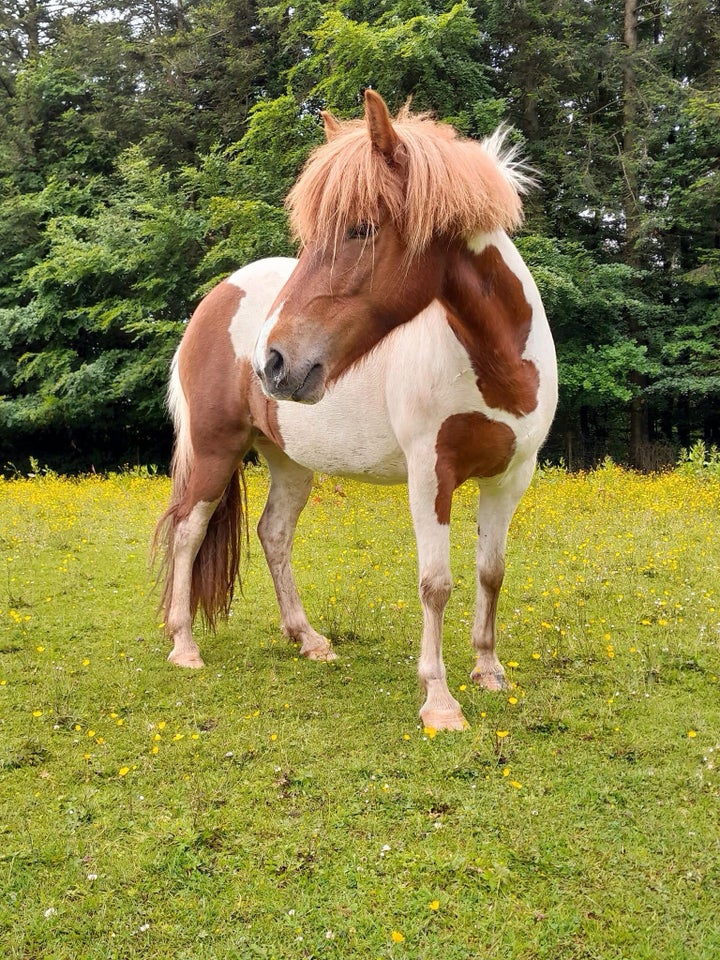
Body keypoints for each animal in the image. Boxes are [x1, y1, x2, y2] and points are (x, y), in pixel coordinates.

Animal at [155, 92, 556, 736]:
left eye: (360, 229)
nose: (274, 361)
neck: (498, 362)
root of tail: (219, 296)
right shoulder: (431, 475)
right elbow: (435, 583)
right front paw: (439, 701)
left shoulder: (511, 476)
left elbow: (490, 572)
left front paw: (489, 671)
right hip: (216, 448)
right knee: (189, 529)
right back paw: (184, 645)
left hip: (289, 460)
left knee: (274, 534)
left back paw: (309, 639)